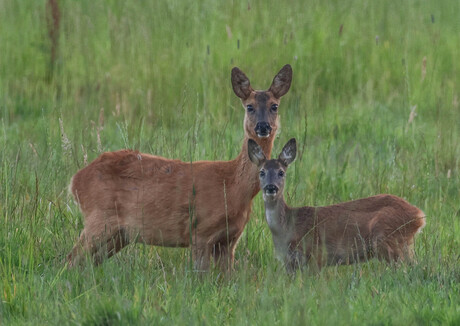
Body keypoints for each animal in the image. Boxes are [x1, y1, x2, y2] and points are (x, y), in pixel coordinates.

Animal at [67, 63, 292, 270]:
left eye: (274, 106)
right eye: (249, 106)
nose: (263, 126)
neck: (233, 186)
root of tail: (75, 181)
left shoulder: (230, 240)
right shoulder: (200, 231)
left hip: (118, 235)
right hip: (99, 219)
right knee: (71, 259)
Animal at [250, 138, 426, 272]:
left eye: (281, 172)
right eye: (262, 172)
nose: (271, 187)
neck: (286, 227)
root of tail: (419, 215)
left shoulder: (316, 255)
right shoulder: (289, 264)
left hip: (388, 239)